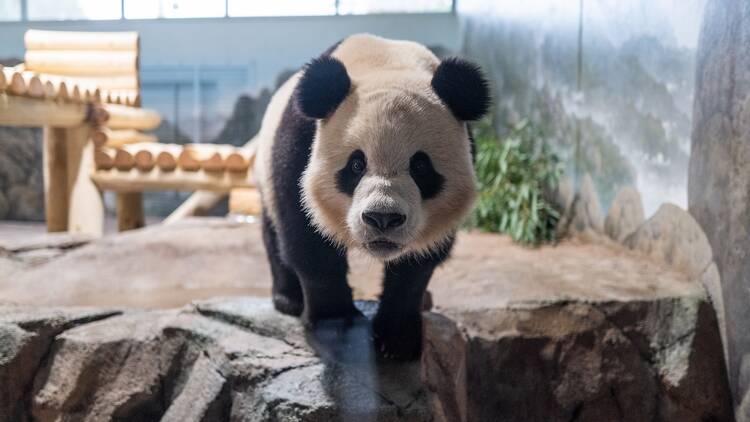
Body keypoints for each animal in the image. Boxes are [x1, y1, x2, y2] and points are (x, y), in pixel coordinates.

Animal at [258, 34, 494, 362]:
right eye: (357, 165)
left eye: (420, 167)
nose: (382, 218)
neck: (386, 63)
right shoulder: (300, 142)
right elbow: (305, 234)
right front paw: (335, 323)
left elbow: (417, 264)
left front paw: (398, 339)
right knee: (273, 232)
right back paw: (288, 298)